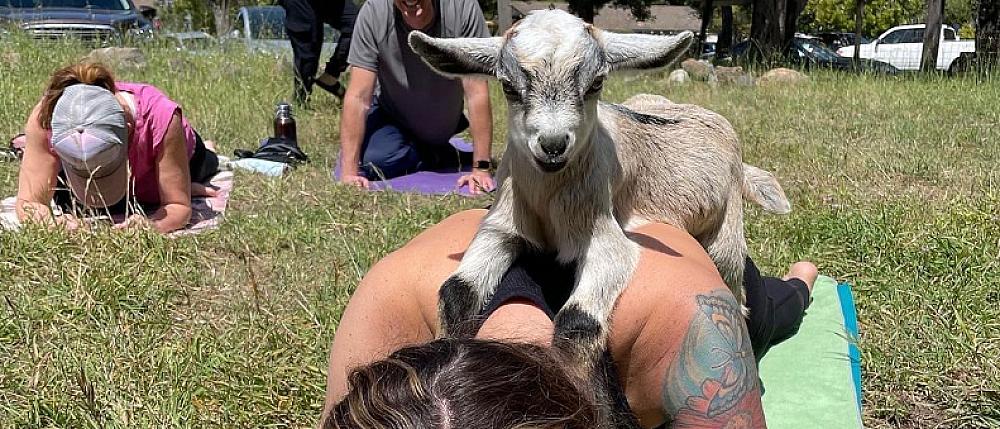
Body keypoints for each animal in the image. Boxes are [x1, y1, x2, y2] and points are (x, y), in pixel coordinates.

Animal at [409, 9, 790, 425]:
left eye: (595, 83)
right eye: (508, 87)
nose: (553, 145)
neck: (548, 205)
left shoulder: (605, 236)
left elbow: (579, 321)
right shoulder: (502, 226)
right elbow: (455, 291)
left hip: (726, 238)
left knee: (737, 289)